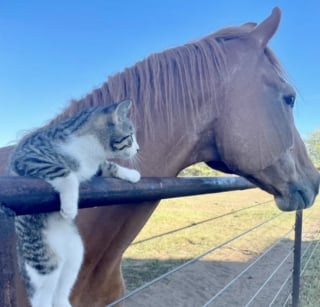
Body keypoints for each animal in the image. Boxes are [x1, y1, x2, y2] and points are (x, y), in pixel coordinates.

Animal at [8, 100, 140, 306]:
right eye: (131, 136)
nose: (138, 149)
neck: (89, 150)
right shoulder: (29, 157)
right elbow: (66, 174)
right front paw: (69, 208)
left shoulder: (93, 167)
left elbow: (108, 165)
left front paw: (132, 174)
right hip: (44, 261)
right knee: (43, 296)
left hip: (75, 253)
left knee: (62, 290)